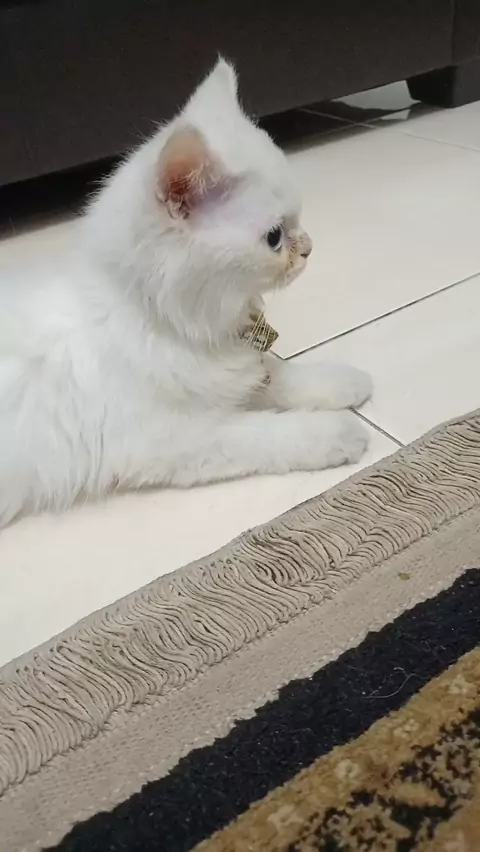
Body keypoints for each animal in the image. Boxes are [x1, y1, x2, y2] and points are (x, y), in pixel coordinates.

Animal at [0, 59, 372, 527]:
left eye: (299, 222)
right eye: (274, 237)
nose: (308, 247)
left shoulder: (235, 371)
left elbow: (282, 375)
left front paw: (343, 381)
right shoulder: (178, 439)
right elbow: (268, 433)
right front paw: (340, 431)